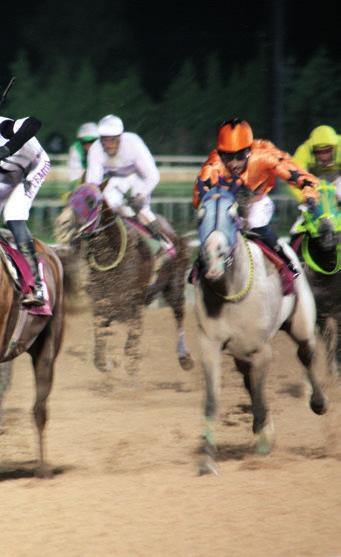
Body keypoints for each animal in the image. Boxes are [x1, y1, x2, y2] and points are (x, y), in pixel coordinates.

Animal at [55, 185, 194, 376]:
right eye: (68, 199)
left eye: (91, 202)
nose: (62, 223)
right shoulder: (102, 303)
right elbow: (100, 346)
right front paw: (109, 362)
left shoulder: (134, 301)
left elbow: (132, 339)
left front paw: (129, 365)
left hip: (175, 284)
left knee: (179, 314)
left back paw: (184, 358)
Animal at [193, 188, 326, 474]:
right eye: (200, 216)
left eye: (232, 215)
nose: (213, 257)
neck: (231, 290)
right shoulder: (210, 345)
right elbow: (212, 400)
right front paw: (207, 460)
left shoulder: (261, 349)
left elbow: (261, 395)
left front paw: (264, 441)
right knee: (248, 378)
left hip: (301, 322)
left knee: (306, 354)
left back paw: (319, 403)